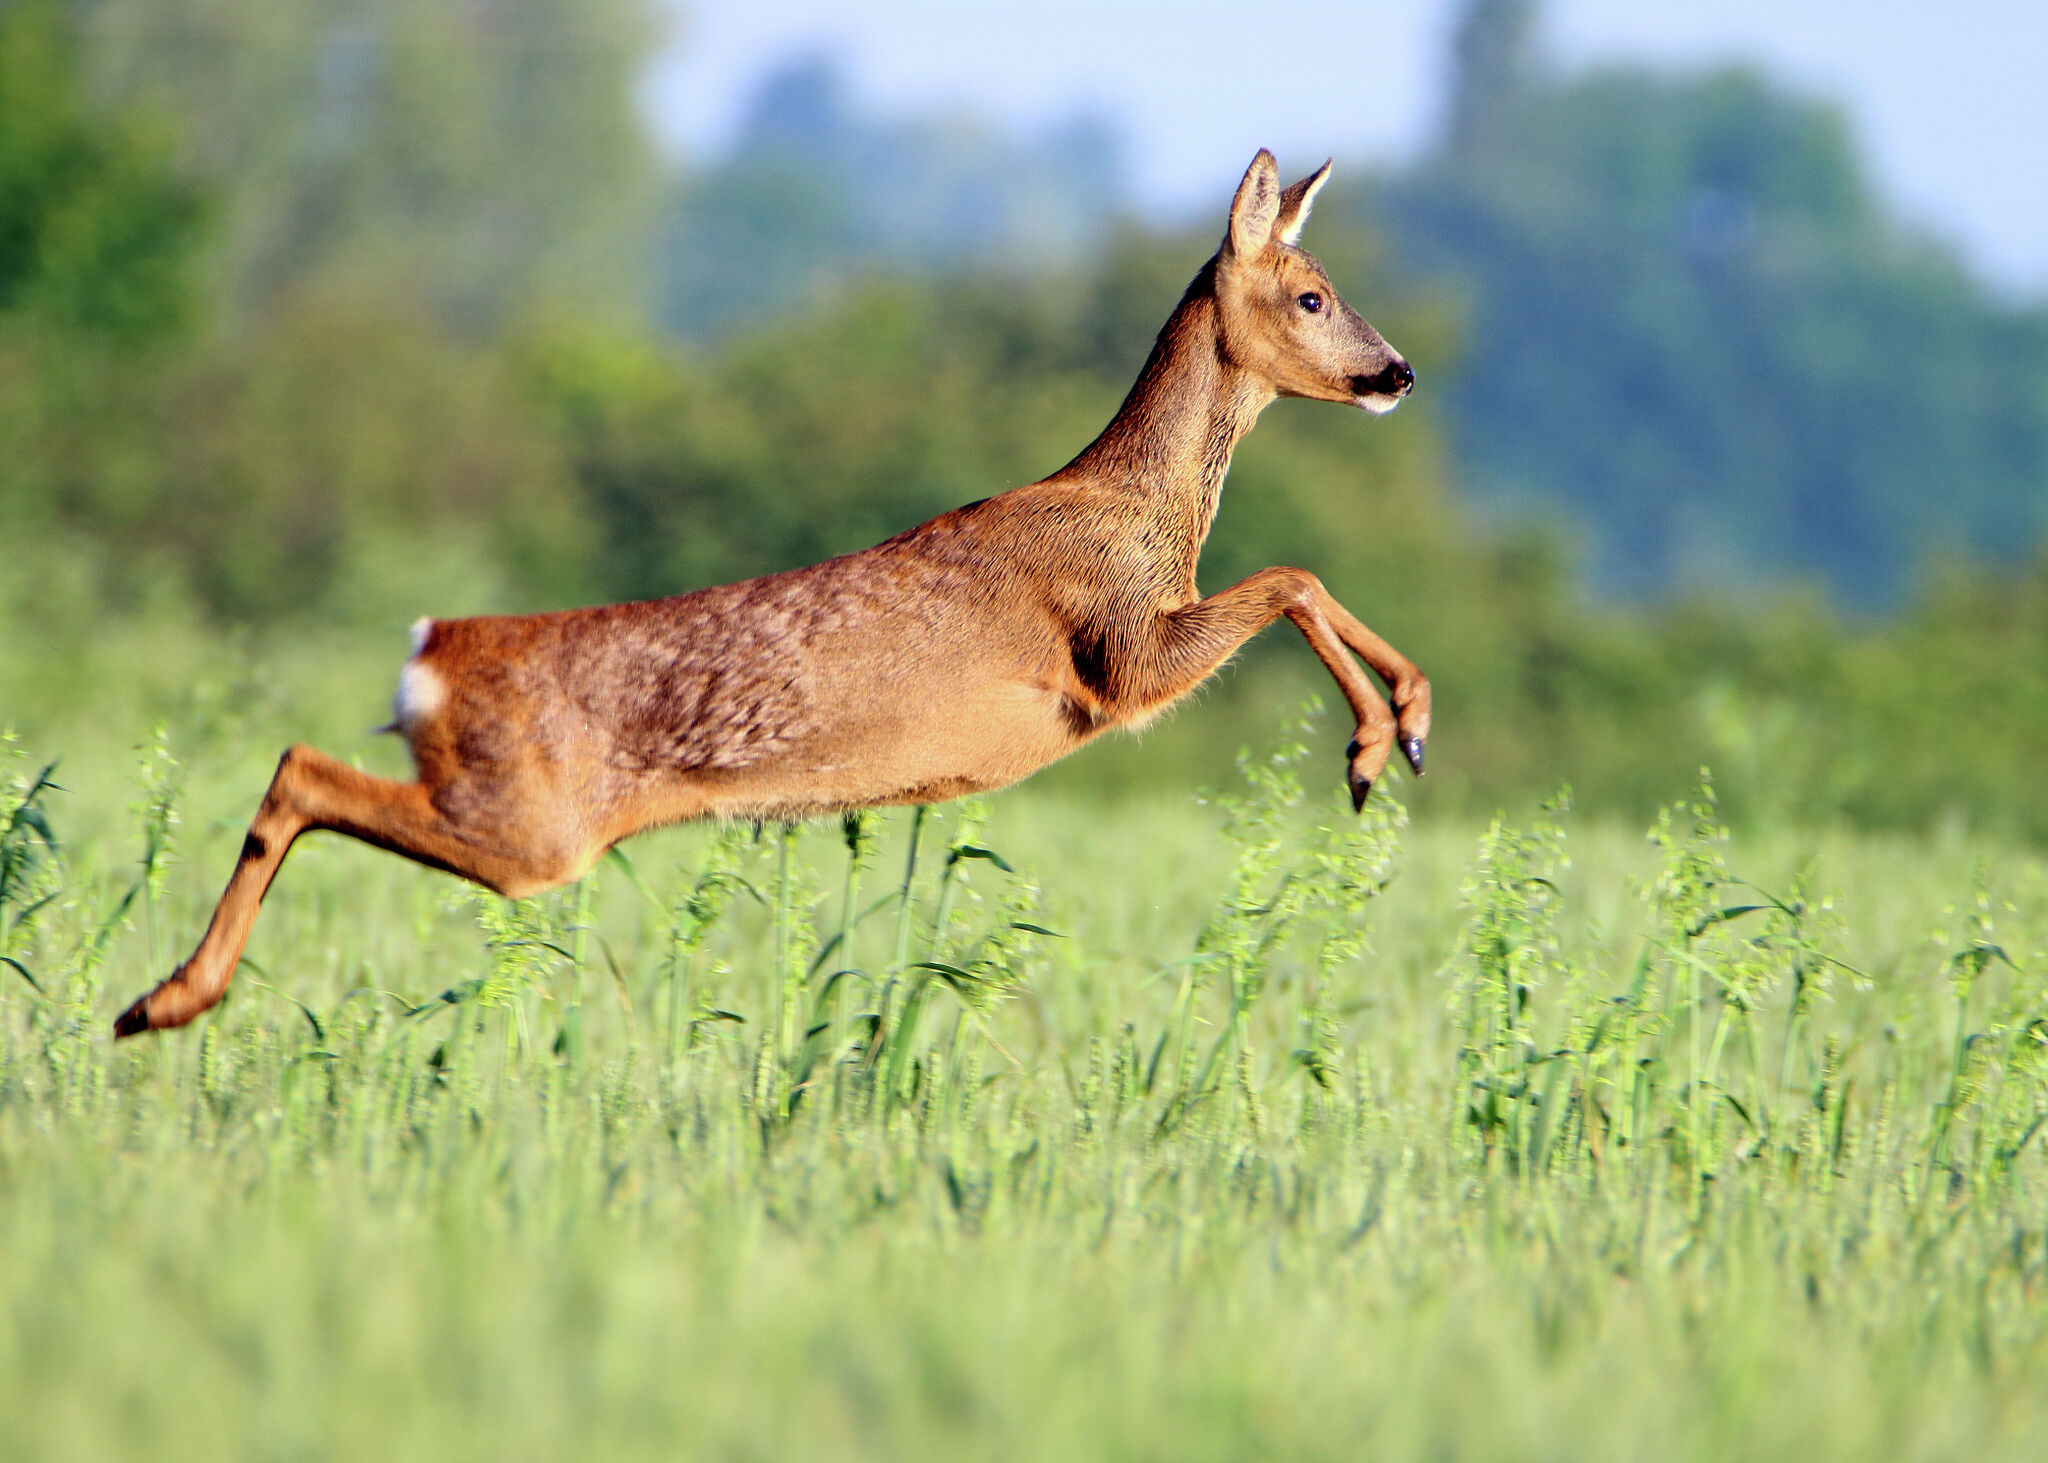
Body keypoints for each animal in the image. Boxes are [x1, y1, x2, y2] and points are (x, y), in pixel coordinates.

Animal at [112, 150, 1425, 1036]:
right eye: (1311, 296)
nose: (1396, 371)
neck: (1139, 512)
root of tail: (429, 649)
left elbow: (1292, 581)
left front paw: (1398, 731)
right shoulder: (1115, 657)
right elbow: (1289, 575)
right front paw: (1383, 737)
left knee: (302, 767)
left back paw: (157, 1000)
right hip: (531, 822)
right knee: (302, 767)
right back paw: (162, 1002)